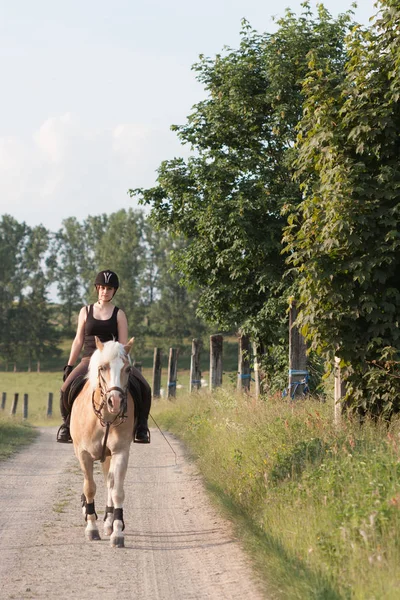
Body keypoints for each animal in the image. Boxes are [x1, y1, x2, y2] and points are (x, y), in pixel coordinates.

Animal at [70, 336, 134, 548]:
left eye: (127, 369)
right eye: (102, 368)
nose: (116, 401)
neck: (105, 416)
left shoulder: (120, 452)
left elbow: (117, 491)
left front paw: (117, 532)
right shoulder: (83, 454)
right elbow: (89, 488)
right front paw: (91, 528)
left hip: (108, 456)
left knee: (109, 482)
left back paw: (109, 521)